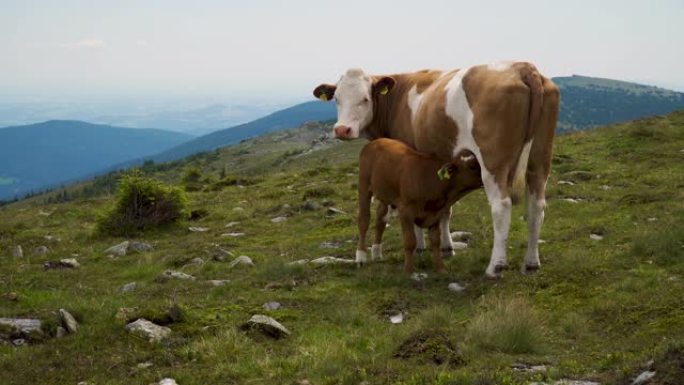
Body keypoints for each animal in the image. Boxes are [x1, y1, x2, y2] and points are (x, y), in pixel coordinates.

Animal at [358, 138, 480, 272]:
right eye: (472, 166)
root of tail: (376, 141)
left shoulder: (435, 214)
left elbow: (435, 241)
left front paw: (440, 268)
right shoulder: (405, 211)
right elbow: (410, 241)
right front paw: (408, 270)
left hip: (386, 194)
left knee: (380, 218)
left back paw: (376, 253)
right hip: (364, 187)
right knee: (364, 221)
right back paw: (361, 257)